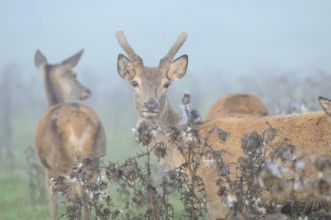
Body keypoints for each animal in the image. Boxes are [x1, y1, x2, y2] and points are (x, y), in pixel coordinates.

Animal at [34, 49, 106, 220]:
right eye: (74, 75)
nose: (87, 91)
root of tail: (78, 123)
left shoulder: (47, 168)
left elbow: (52, 204)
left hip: (63, 162)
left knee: (74, 200)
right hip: (95, 158)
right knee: (90, 197)